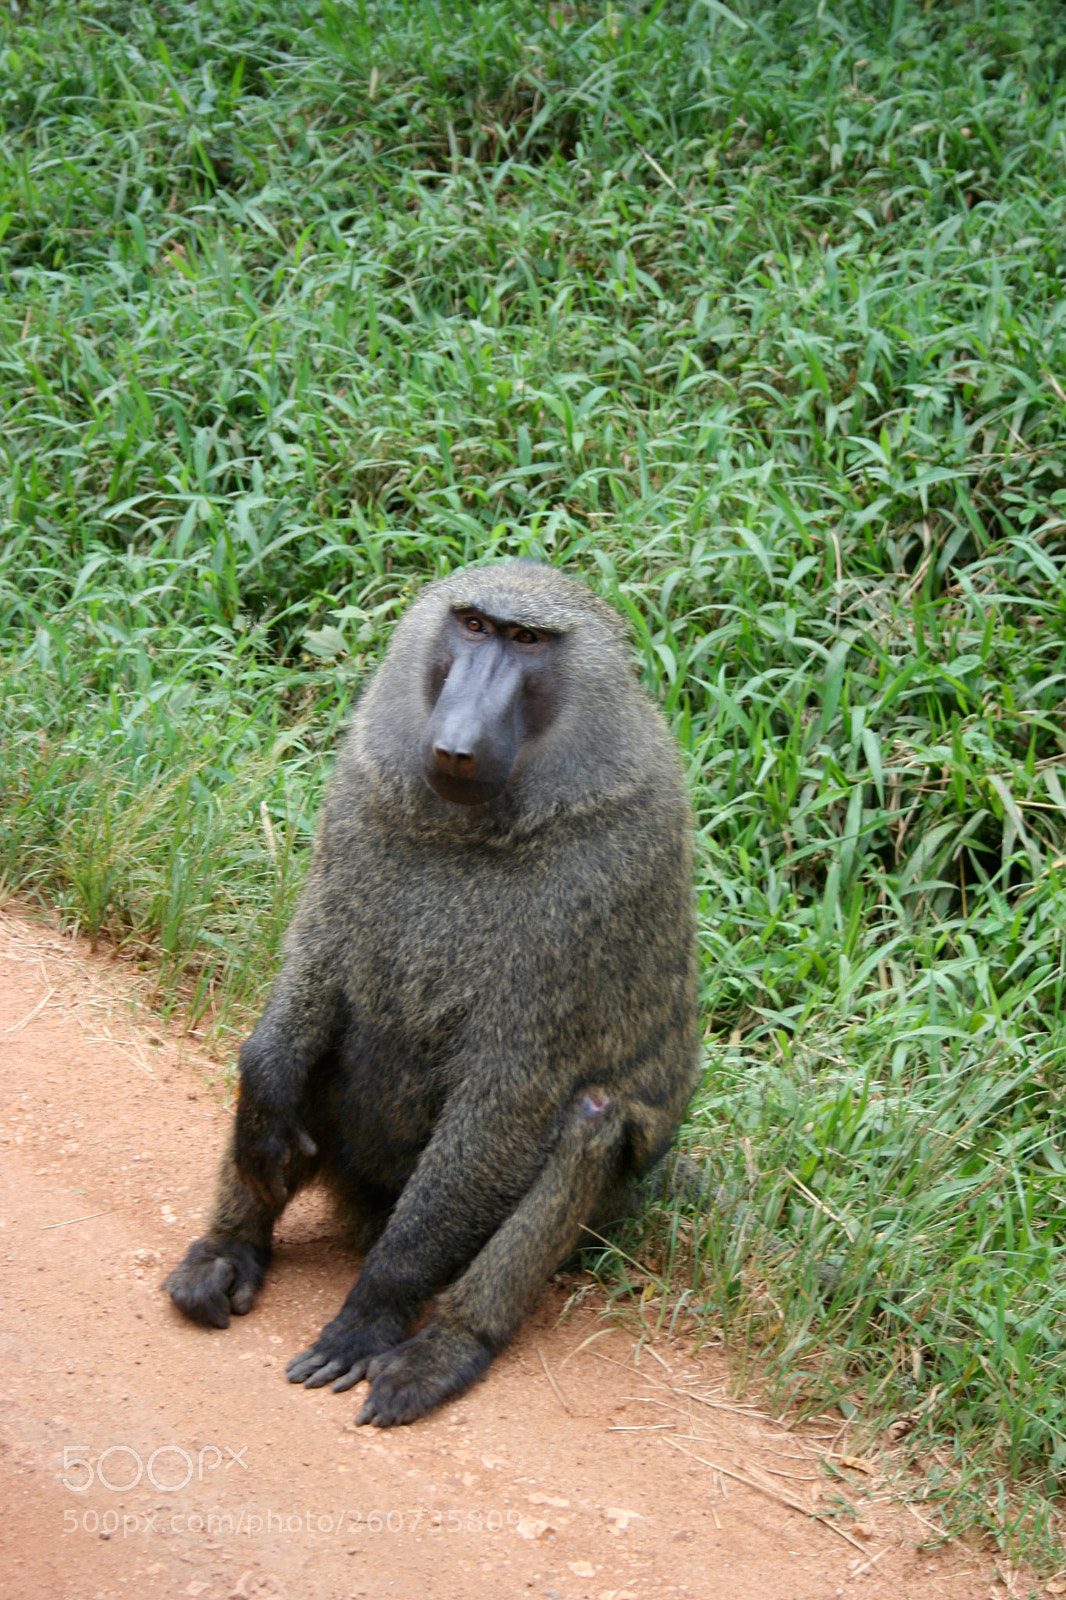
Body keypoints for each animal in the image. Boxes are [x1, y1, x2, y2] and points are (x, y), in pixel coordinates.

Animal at [164, 561, 700, 1427]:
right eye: (474, 625)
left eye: (528, 640)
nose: (455, 744)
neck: (477, 826)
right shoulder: (362, 787)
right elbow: (317, 967)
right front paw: (262, 1092)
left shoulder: (604, 874)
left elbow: (509, 1097)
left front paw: (372, 1314)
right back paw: (227, 1251)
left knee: (589, 1118)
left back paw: (446, 1346)